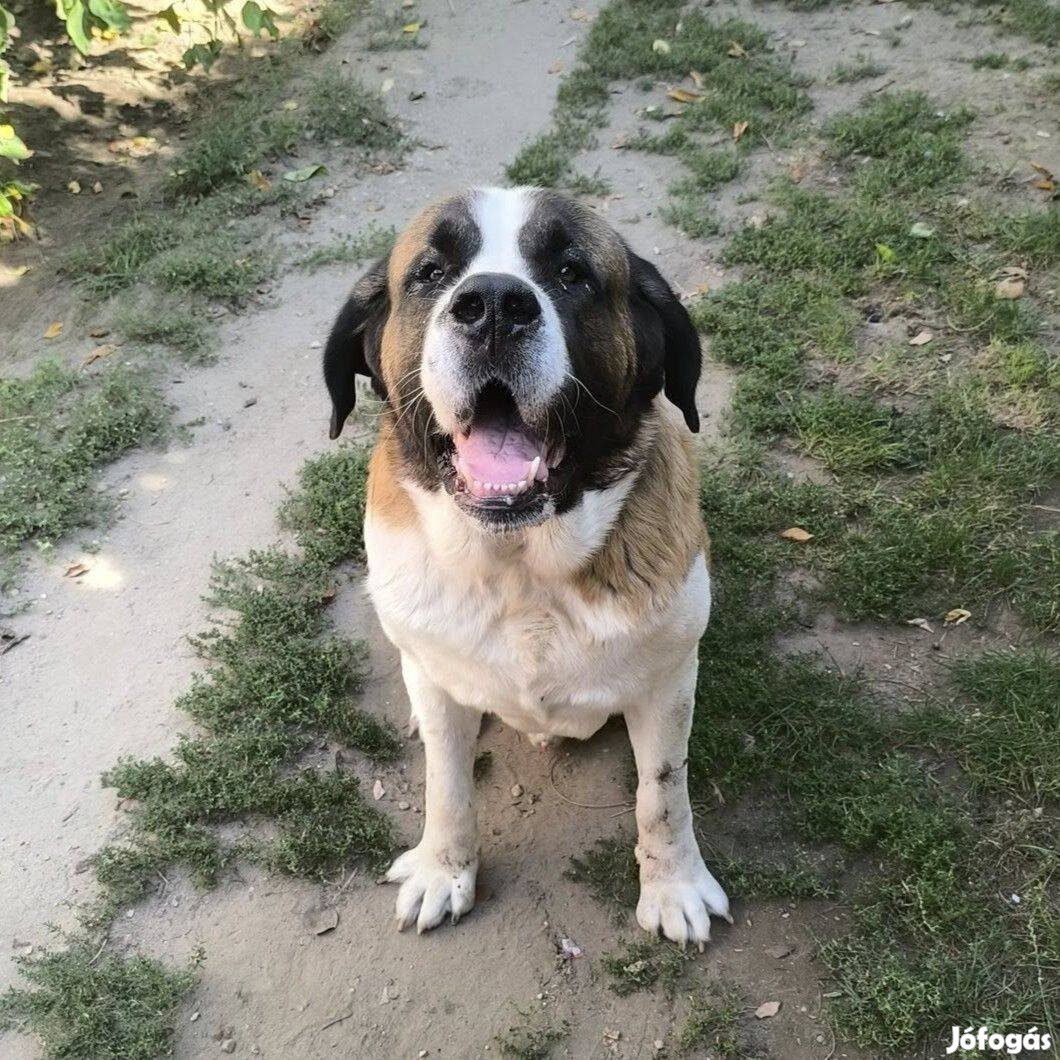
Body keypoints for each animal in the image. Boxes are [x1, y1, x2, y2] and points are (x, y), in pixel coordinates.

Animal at [323, 186, 731, 948]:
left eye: (572, 273)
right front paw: (444, 869)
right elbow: (447, 786)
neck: (521, 572)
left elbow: (663, 792)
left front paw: (674, 886)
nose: (492, 305)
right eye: (430, 273)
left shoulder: (667, 682)